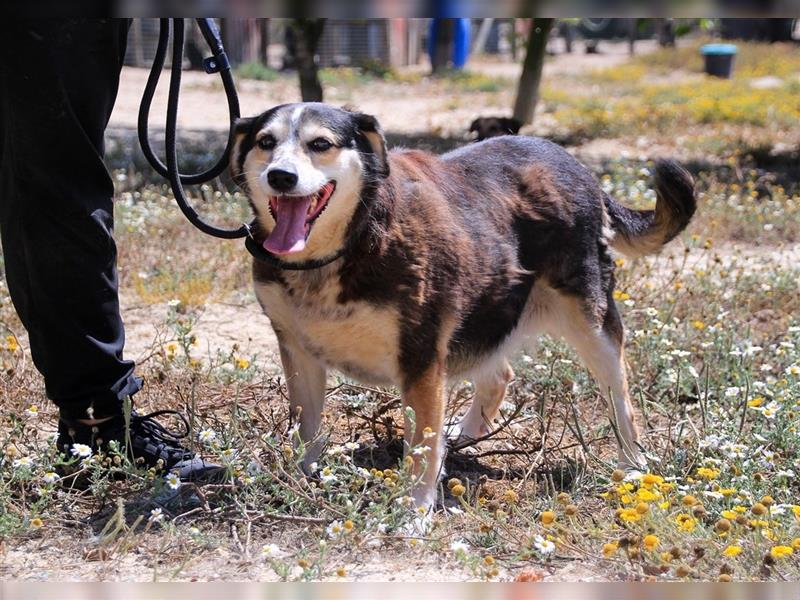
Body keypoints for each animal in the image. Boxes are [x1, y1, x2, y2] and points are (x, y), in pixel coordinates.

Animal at [228, 103, 696, 510]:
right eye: (266, 142)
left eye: (320, 144)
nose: (280, 177)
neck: (348, 244)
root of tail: (579, 167)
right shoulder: (298, 350)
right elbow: (304, 428)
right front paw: (295, 479)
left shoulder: (421, 356)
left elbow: (421, 447)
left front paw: (413, 511)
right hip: (488, 307)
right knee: (500, 373)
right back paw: (466, 435)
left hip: (591, 323)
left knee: (621, 398)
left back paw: (632, 465)